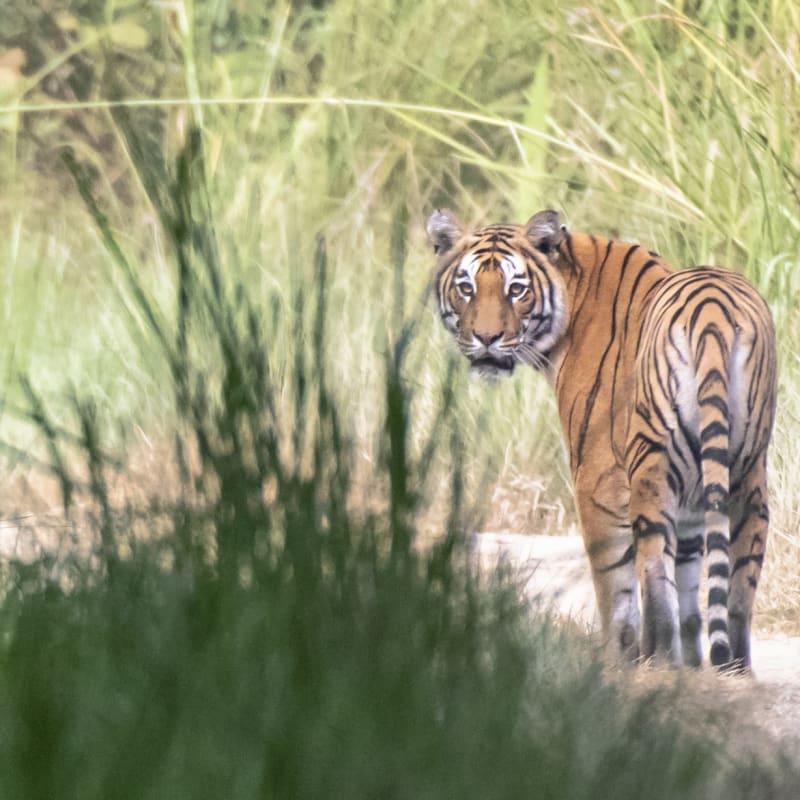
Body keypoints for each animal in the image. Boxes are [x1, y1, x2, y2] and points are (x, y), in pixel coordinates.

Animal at [426, 208, 777, 670]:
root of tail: (713, 312)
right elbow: (689, 580)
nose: (486, 340)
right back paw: (735, 670)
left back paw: (658, 661)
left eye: (516, 289)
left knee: (652, 569)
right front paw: (692, 667)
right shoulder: (691, 499)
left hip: (650, 467)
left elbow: (616, 587)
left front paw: (618, 662)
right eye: (466, 288)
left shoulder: (598, 479)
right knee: (738, 587)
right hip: (748, 474)